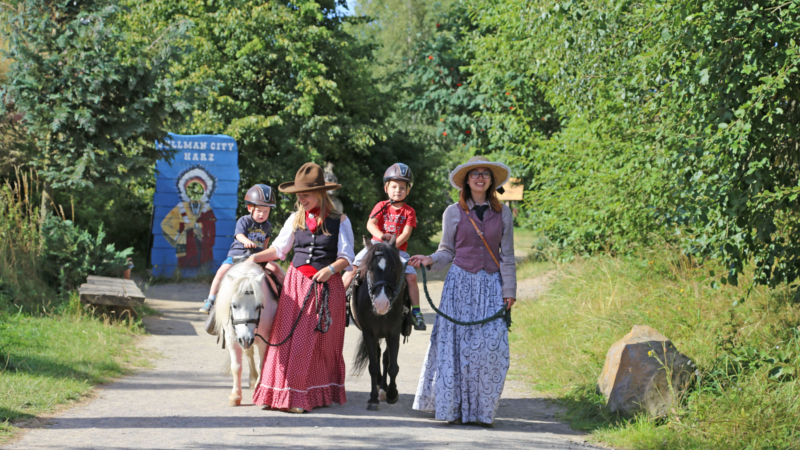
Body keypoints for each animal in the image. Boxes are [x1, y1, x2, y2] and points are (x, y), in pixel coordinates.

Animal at [214, 262, 280, 406]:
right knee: (248, 353)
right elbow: (236, 367)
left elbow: (262, 365)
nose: (245, 339)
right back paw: (252, 379)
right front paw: (236, 395)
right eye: (234, 305)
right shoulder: (232, 339)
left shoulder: (264, 340)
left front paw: (259, 390)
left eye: (259, 306)